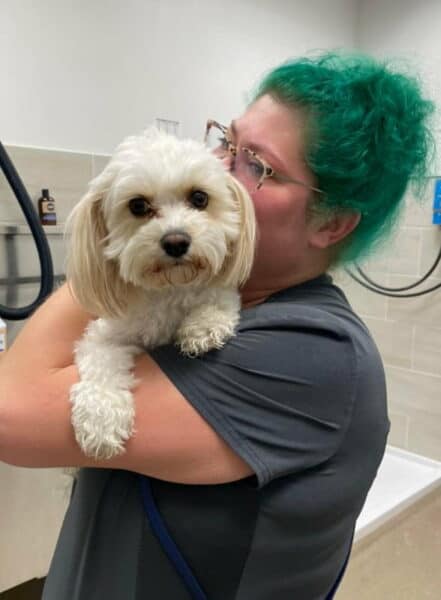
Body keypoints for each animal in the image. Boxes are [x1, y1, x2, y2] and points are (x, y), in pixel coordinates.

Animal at [67, 129, 256, 462]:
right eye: (138, 206)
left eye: (199, 198)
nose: (176, 241)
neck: (170, 289)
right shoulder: (103, 335)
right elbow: (101, 364)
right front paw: (101, 419)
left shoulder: (221, 292)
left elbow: (220, 301)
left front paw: (203, 327)